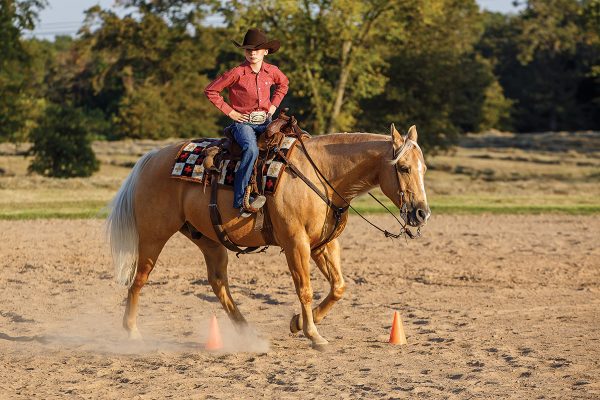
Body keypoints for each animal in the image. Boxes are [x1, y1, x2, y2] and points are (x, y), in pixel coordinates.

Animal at [106, 122, 426, 346]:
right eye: (403, 167)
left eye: (423, 168)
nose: (422, 212)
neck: (322, 173)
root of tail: (152, 158)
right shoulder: (296, 243)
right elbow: (304, 288)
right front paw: (313, 334)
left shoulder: (324, 244)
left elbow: (338, 287)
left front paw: (298, 323)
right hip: (154, 235)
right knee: (139, 279)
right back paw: (131, 332)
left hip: (208, 239)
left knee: (218, 283)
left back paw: (247, 331)